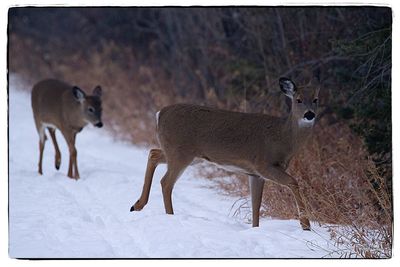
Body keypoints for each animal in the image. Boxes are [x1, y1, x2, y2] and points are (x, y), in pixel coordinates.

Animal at [130, 76, 320, 231]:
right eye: (298, 100)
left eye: (316, 99)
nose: (309, 114)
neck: (283, 138)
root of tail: (159, 114)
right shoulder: (264, 164)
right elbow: (293, 182)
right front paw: (305, 225)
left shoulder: (255, 174)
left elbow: (256, 205)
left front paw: (255, 229)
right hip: (180, 152)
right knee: (166, 182)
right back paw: (170, 216)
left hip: (179, 151)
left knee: (153, 153)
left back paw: (137, 205)